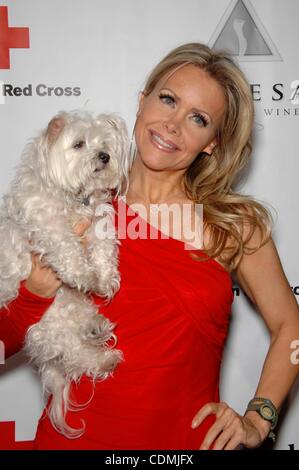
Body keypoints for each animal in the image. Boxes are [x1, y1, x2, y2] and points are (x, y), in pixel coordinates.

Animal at [0, 110, 131, 436]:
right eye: (79, 144)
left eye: (104, 144)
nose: (105, 156)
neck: (74, 199)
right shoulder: (48, 224)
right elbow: (66, 246)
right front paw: (83, 274)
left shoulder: (99, 221)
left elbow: (104, 248)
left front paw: (104, 279)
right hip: (49, 326)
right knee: (73, 353)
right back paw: (104, 359)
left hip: (70, 308)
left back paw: (97, 329)